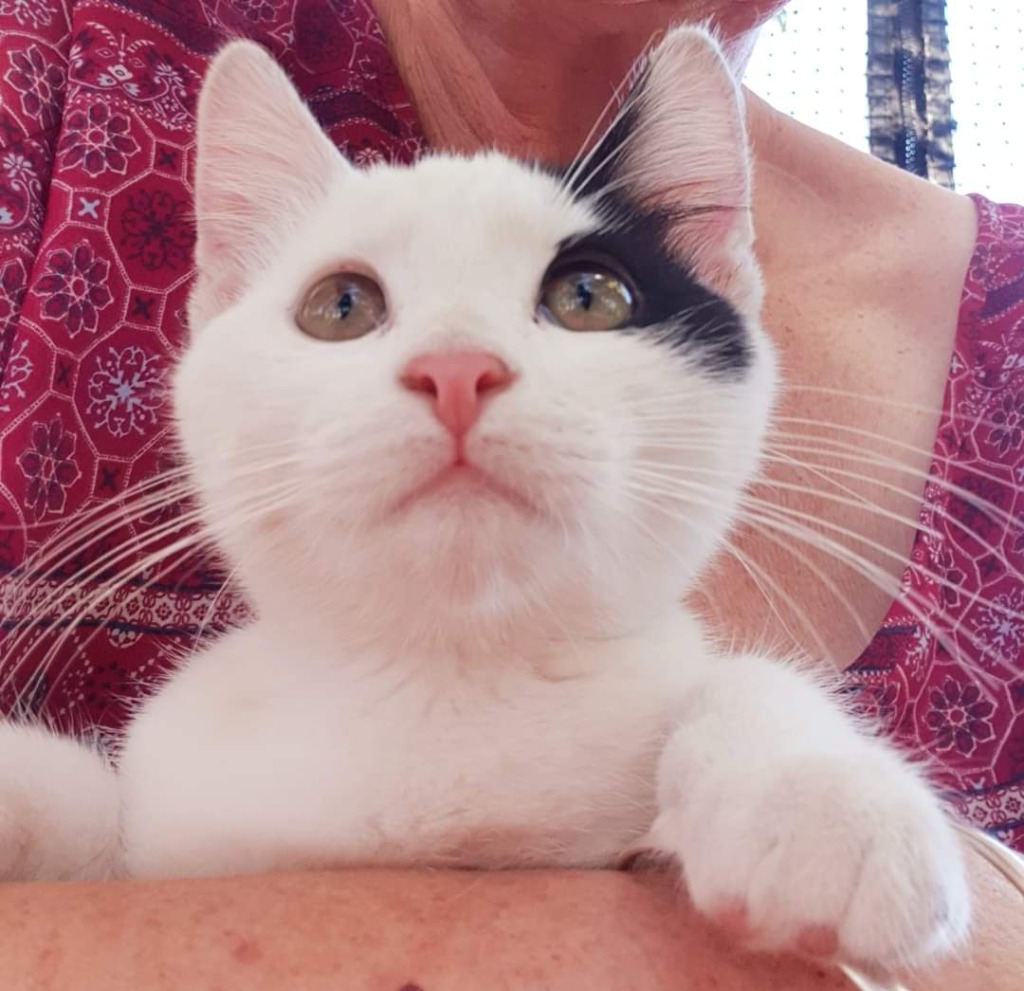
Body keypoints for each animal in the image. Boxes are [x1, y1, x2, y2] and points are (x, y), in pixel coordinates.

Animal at [0, 26, 968, 971]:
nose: (457, 369)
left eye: (589, 295)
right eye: (339, 304)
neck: (452, 681)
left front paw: (817, 793)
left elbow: (742, 678)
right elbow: (95, 808)